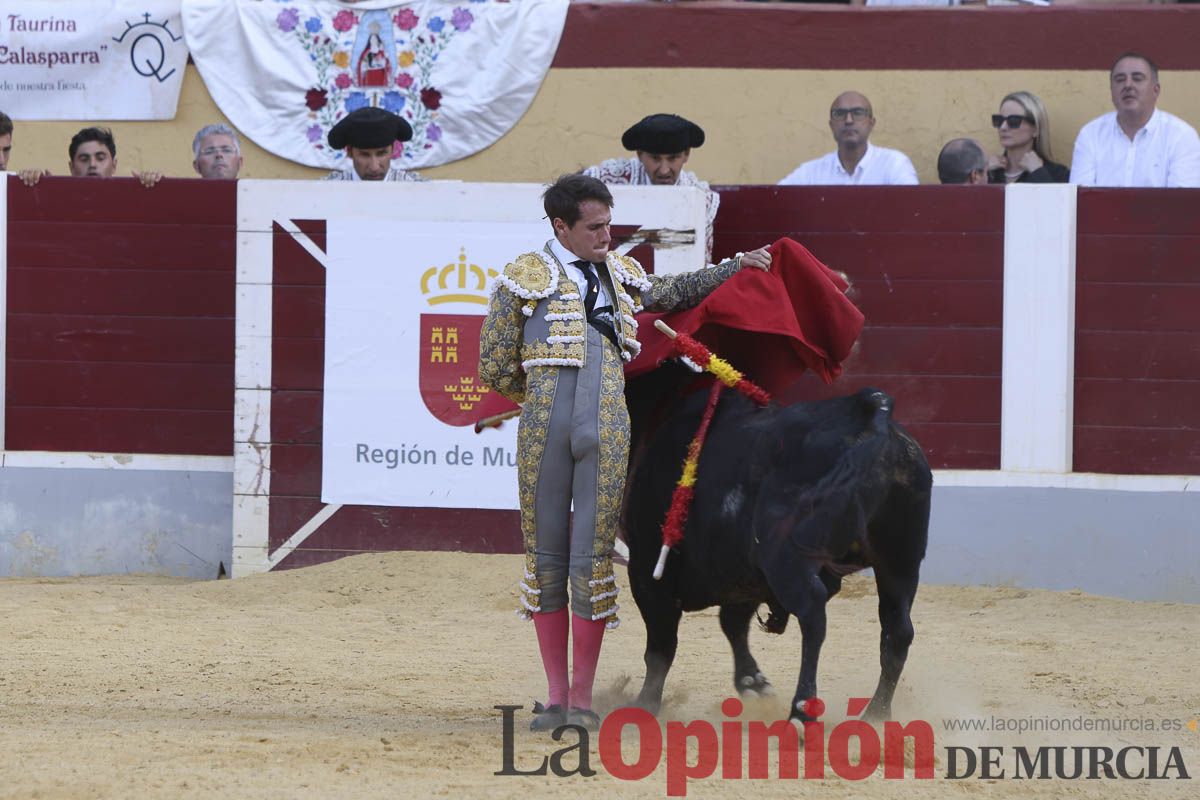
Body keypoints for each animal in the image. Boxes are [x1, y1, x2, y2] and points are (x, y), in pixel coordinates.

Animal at [624, 371, 931, 724]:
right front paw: (753, 683)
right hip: (900, 561)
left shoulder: (647, 569)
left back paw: (801, 712)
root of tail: (873, 417)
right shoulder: (743, 575)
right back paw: (876, 712)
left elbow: (661, 647)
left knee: (813, 614)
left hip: (788, 560)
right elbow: (732, 623)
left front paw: (644, 705)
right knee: (898, 629)